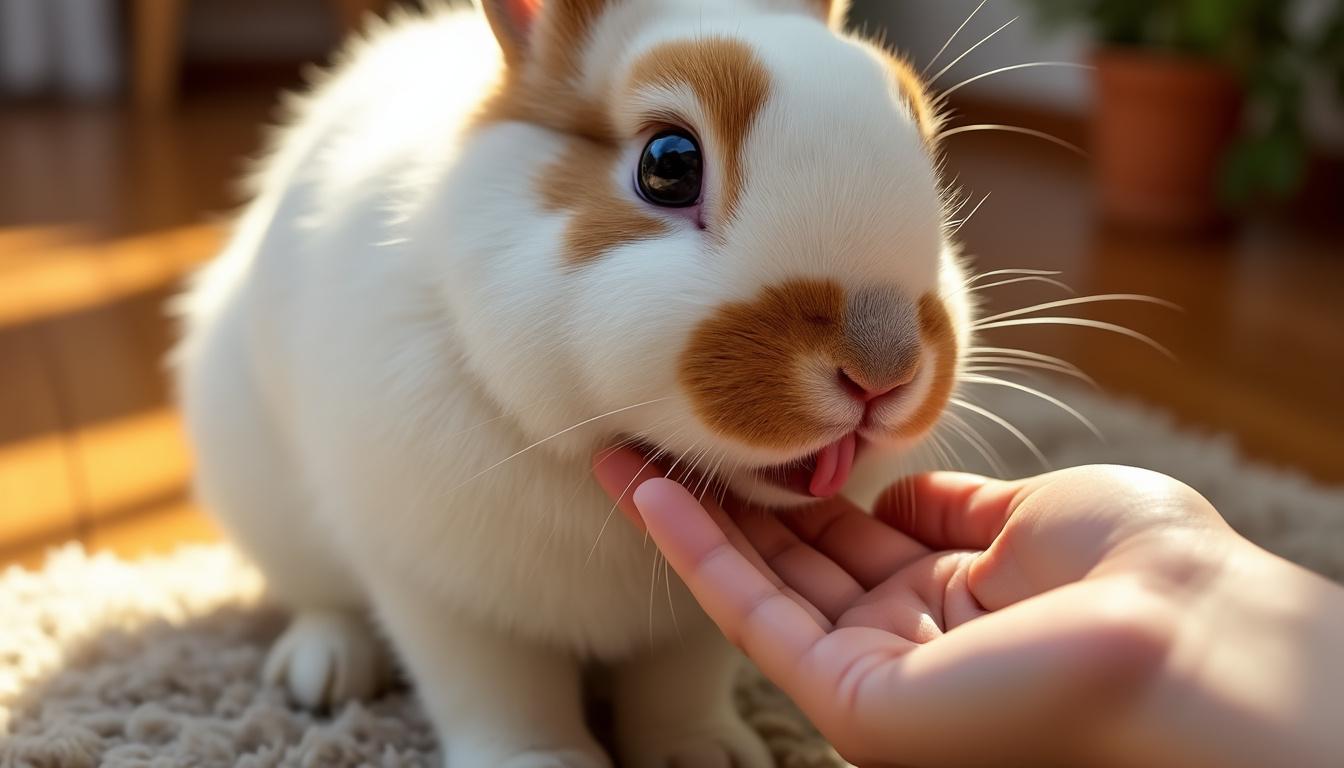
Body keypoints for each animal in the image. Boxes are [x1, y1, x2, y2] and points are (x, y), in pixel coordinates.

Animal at [173, 1, 971, 765]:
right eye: (669, 165)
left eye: (924, 146)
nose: (884, 369)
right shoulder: (448, 594)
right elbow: (499, 693)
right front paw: (542, 762)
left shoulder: (692, 626)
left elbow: (680, 689)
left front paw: (705, 755)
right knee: (317, 597)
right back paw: (325, 669)